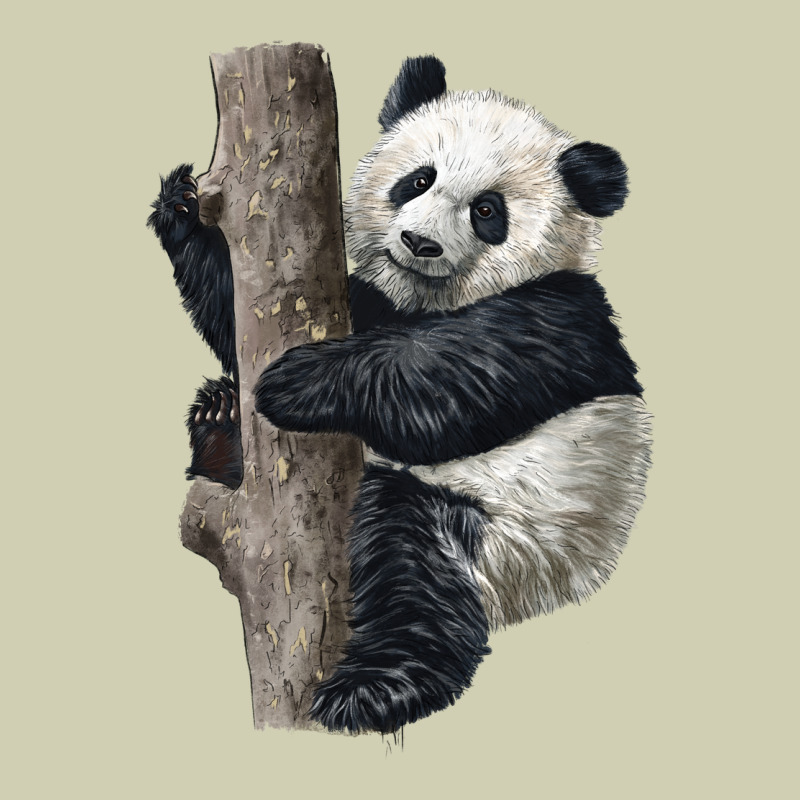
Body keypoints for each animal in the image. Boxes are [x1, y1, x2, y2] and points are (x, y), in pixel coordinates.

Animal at [149, 55, 651, 735]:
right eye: (418, 179)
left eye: (487, 211)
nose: (420, 244)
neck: (431, 298)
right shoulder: (372, 301)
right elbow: (238, 319)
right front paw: (180, 208)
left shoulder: (559, 318)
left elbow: (443, 388)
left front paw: (296, 381)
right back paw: (218, 426)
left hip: (509, 536)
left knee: (410, 565)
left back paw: (371, 692)